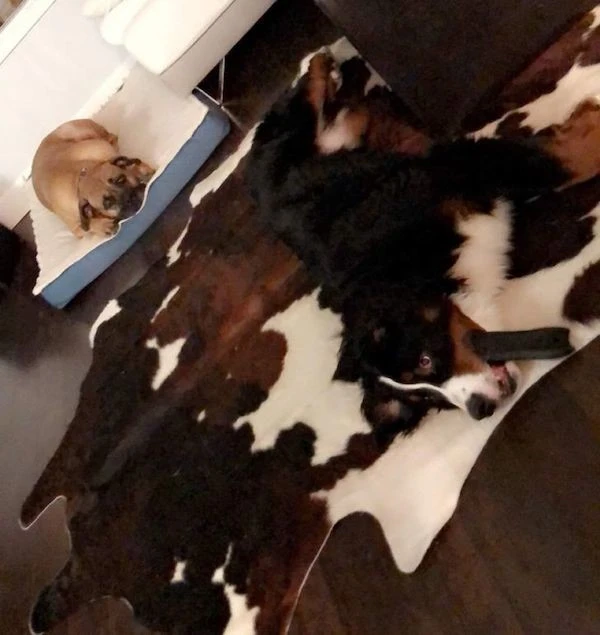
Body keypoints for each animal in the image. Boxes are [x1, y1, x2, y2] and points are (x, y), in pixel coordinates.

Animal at [246, 52, 580, 436]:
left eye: (424, 360)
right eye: (428, 398)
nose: (479, 409)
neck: (403, 268)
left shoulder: (455, 170)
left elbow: (569, 160)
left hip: (291, 139)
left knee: (301, 102)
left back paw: (320, 60)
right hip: (344, 134)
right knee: (345, 110)